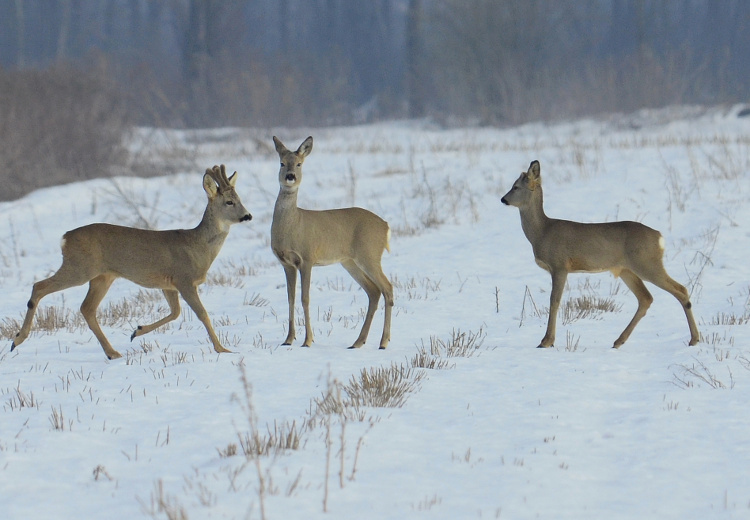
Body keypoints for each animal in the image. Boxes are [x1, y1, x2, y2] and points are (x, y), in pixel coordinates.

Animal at [11, 165, 253, 360]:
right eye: (229, 202)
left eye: (240, 199)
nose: (248, 216)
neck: (198, 247)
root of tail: (65, 238)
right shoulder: (184, 279)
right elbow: (202, 314)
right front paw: (223, 349)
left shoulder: (168, 284)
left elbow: (175, 313)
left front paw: (137, 331)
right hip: (79, 268)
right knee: (39, 286)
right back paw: (17, 339)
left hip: (102, 276)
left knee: (87, 308)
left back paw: (112, 353)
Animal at [274, 137, 396, 350]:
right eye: (282, 163)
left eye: (299, 164)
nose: (290, 176)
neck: (292, 225)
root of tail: (385, 226)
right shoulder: (286, 263)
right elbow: (290, 299)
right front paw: (288, 339)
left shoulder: (307, 258)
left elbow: (305, 298)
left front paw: (308, 341)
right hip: (349, 261)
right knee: (373, 291)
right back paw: (358, 342)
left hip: (369, 254)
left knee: (387, 288)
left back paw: (383, 342)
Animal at [502, 159, 704, 350]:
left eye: (515, 186)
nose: (503, 199)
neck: (542, 232)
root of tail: (659, 237)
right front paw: (547, 340)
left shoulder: (560, 265)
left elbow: (555, 300)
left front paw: (546, 341)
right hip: (627, 270)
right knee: (646, 298)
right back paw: (618, 341)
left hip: (647, 263)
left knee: (680, 290)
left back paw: (694, 339)